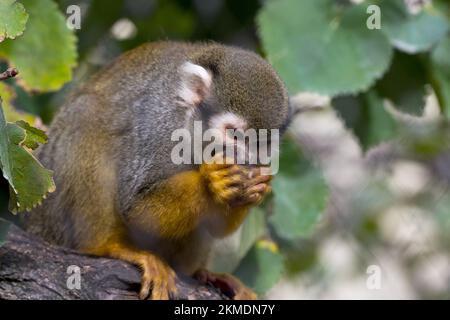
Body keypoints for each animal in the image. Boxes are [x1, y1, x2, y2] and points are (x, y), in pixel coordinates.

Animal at [25, 42, 292, 300]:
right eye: (234, 134)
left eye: (262, 143)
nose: (246, 158)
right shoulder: (160, 127)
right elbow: (138, 208)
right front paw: (211, 181)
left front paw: (256, 187)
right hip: (54, 215)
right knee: (87, 117)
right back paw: (103, 246)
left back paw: (199, 273)